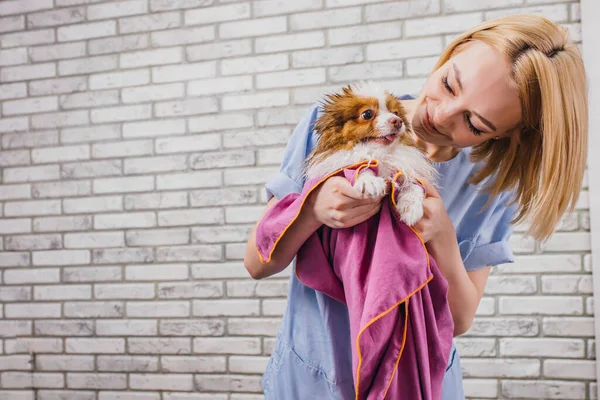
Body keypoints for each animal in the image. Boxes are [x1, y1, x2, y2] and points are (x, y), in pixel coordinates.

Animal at [304, 82, 436, 225]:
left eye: (396, 113)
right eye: (367, 114)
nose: (397, 121)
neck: (380, 153)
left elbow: (413, 184)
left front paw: (411, 208)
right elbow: (359, 165)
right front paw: (369, 181)